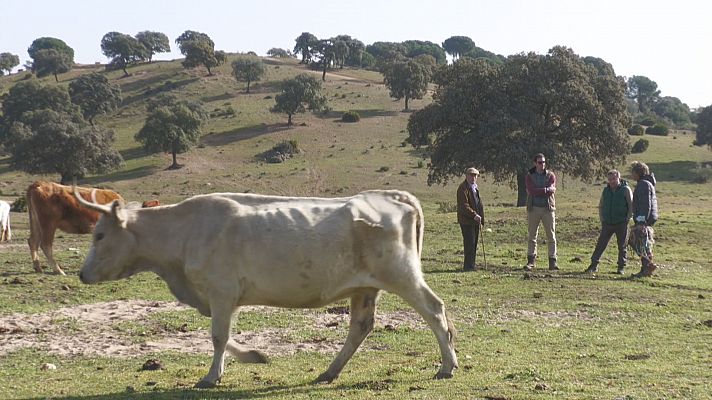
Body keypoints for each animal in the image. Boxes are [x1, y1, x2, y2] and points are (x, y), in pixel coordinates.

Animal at [75, 190, 456, 388]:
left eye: (100, 235)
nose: (81, 274)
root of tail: (390, 195)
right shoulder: (222, 297)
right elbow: (224, 336)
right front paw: (253, 356)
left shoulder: (221, 291)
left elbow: (218, 336)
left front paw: (211, 376)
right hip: (364, 287)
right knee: (360, 328)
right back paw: (329, 372)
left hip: (402, 275)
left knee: (435, 311)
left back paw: (447, 366)